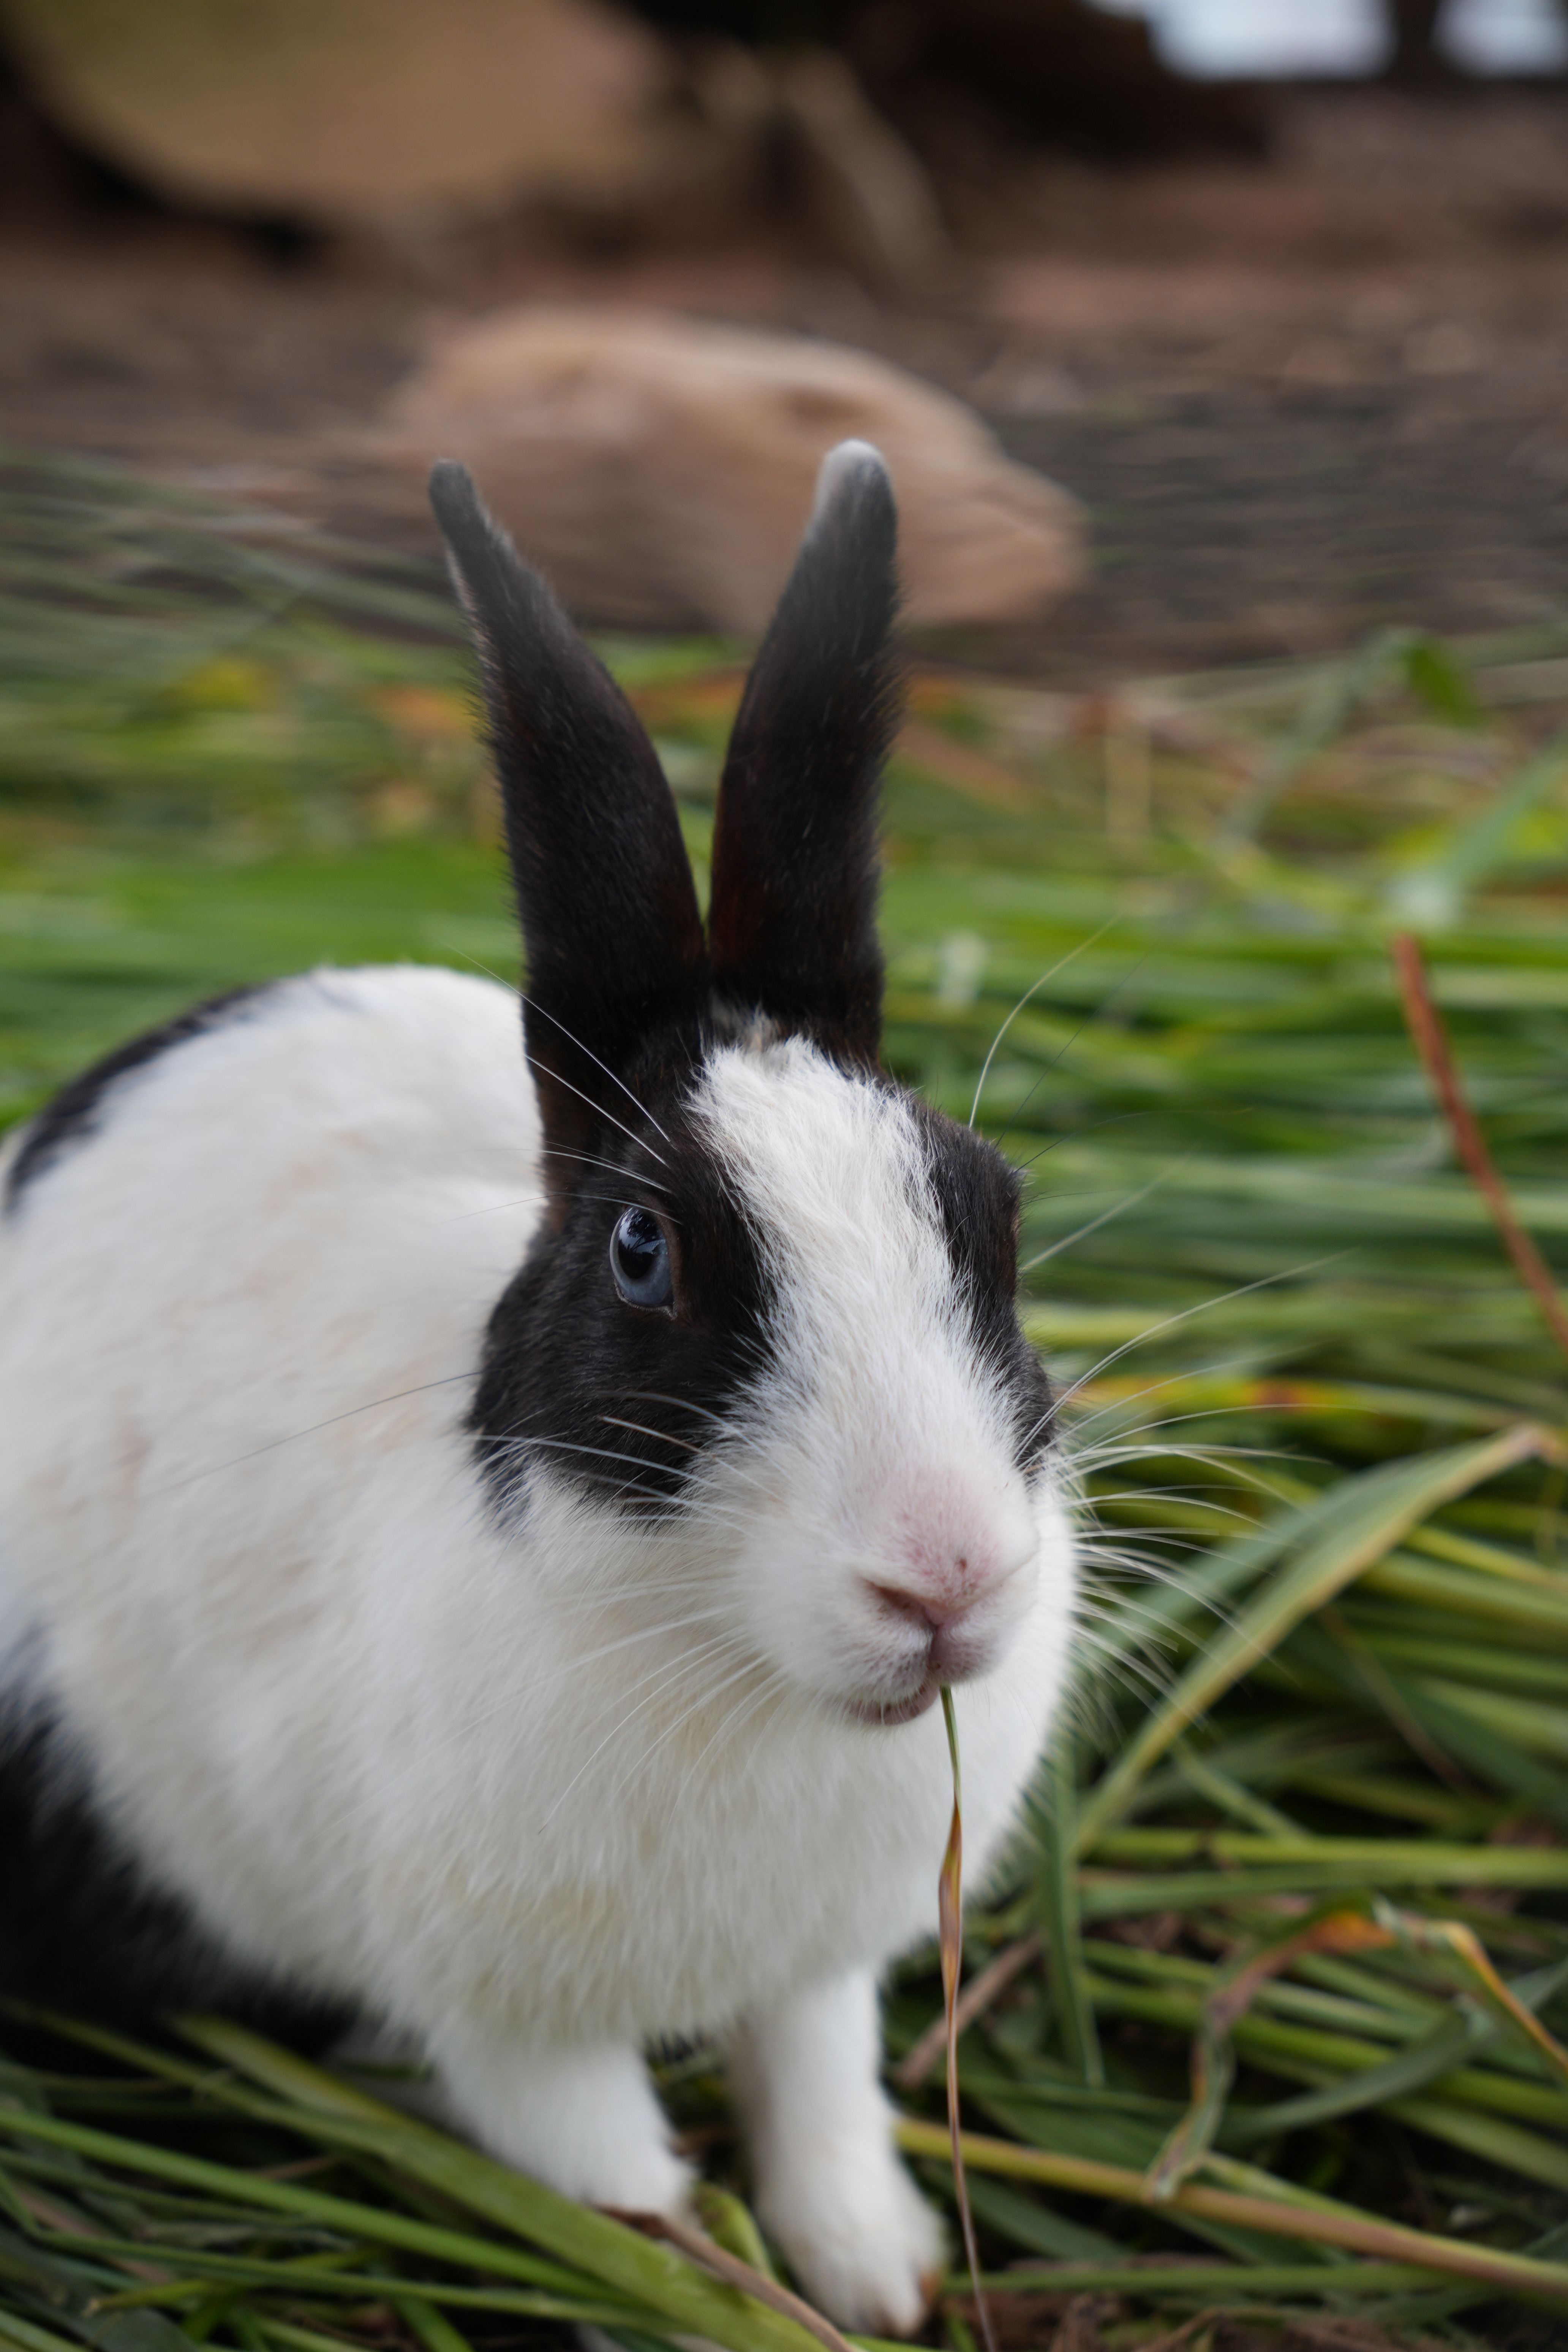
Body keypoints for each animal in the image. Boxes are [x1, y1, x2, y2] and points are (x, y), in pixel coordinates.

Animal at [0, 440, 1078, 2337]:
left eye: (988, 1205)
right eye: (646, 1254)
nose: (945, 1580)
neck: (731, 1665)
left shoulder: (816, 1973)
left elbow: (818, 2103)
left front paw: (873, 2277)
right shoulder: (518, 2035)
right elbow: (615, 2191)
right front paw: (724, 2294)